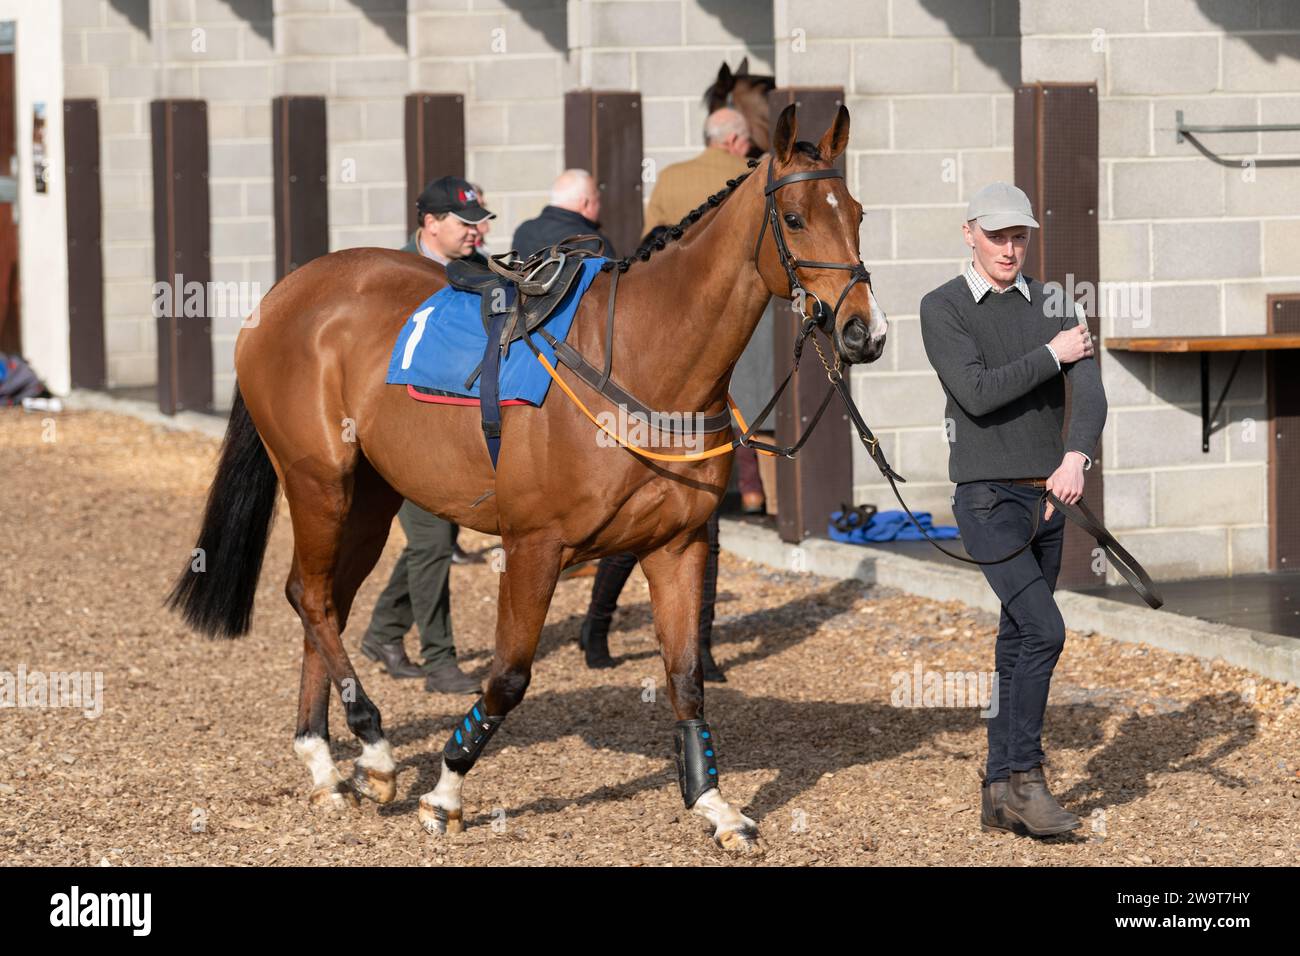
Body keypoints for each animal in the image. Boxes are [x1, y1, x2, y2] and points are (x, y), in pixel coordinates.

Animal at [165, 104, 883, 853]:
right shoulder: (534, 546)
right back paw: (372, 748)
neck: (637, 360)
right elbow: (508, 678)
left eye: (858, 213)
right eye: (795, 217)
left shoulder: (677, 545)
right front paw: (446, 792)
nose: (863, 331)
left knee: (323, 601)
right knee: (309, 596)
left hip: (370, 497)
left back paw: (327, 762)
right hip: (318, 483)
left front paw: (715, 805)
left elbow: (686, 678)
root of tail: (284, 295)